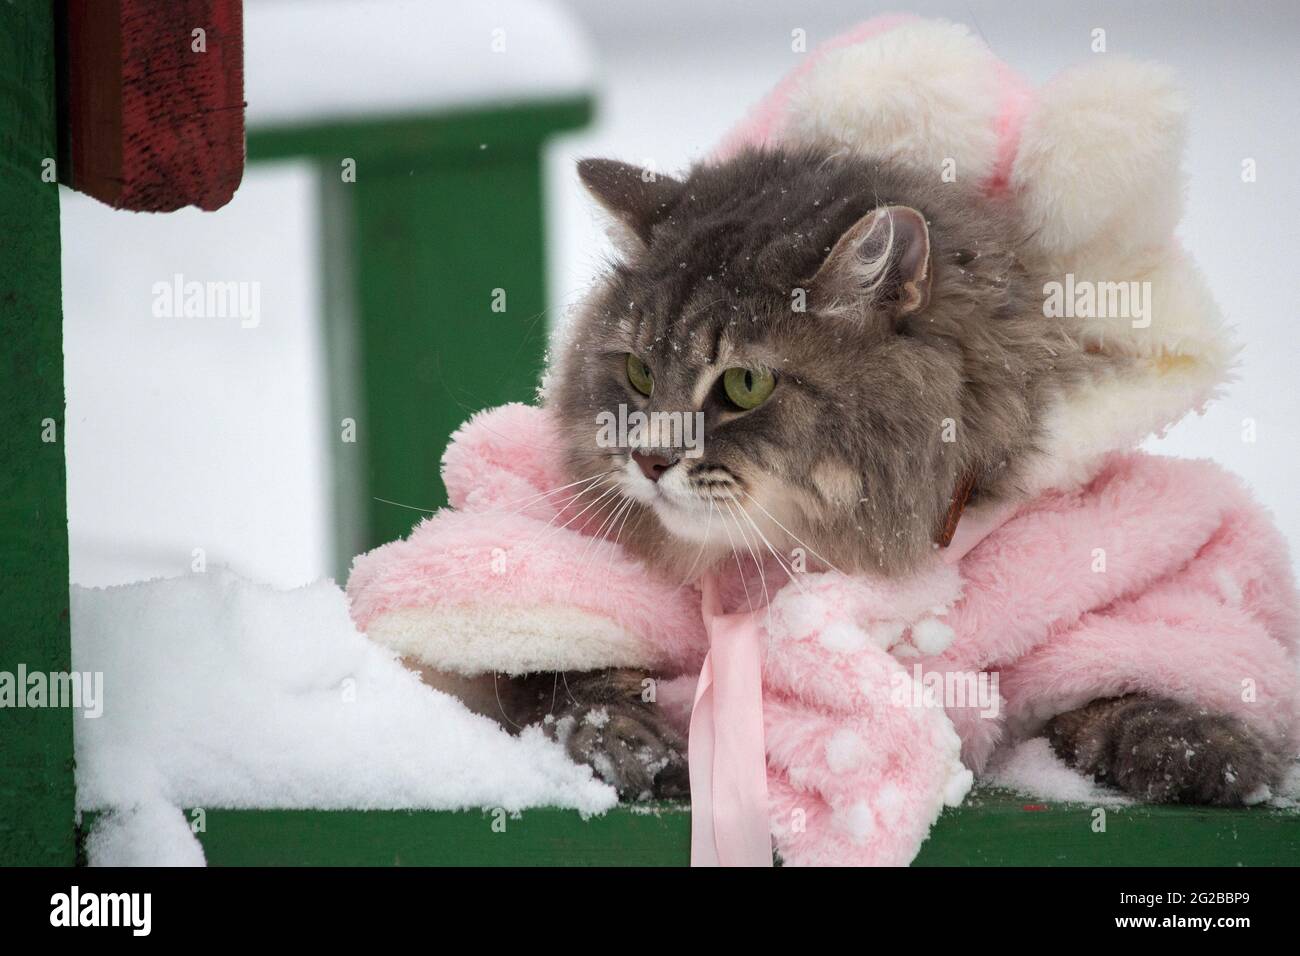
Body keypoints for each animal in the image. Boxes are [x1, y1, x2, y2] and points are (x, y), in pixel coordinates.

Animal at [496, 143, 1279, 806]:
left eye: (746, 384)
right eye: (637, 372)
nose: (650, 459)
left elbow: (1122, 688)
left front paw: (1205, 746)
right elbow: (563, 681)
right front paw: (632, 741)